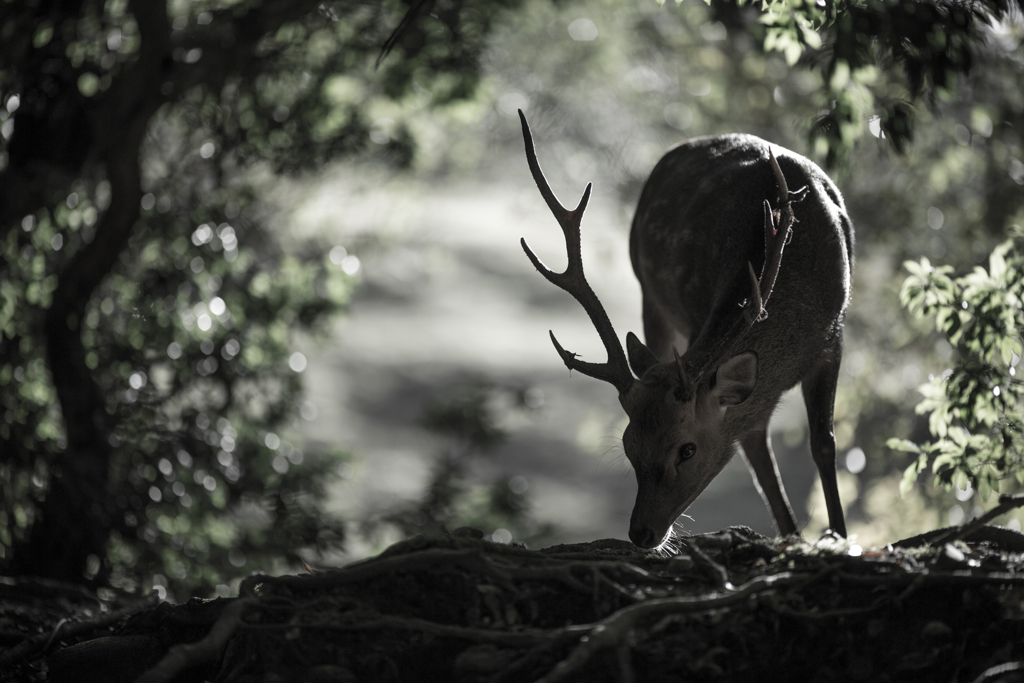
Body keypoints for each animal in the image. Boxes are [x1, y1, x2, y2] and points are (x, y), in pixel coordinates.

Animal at [516, 112, 851, 548]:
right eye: (629, 445)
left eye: (686, 450)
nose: (641, 533)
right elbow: (762, 445)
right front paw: (799, 535)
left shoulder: (834, 339)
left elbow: (824, 443)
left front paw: (841, 534)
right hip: (652, 298)